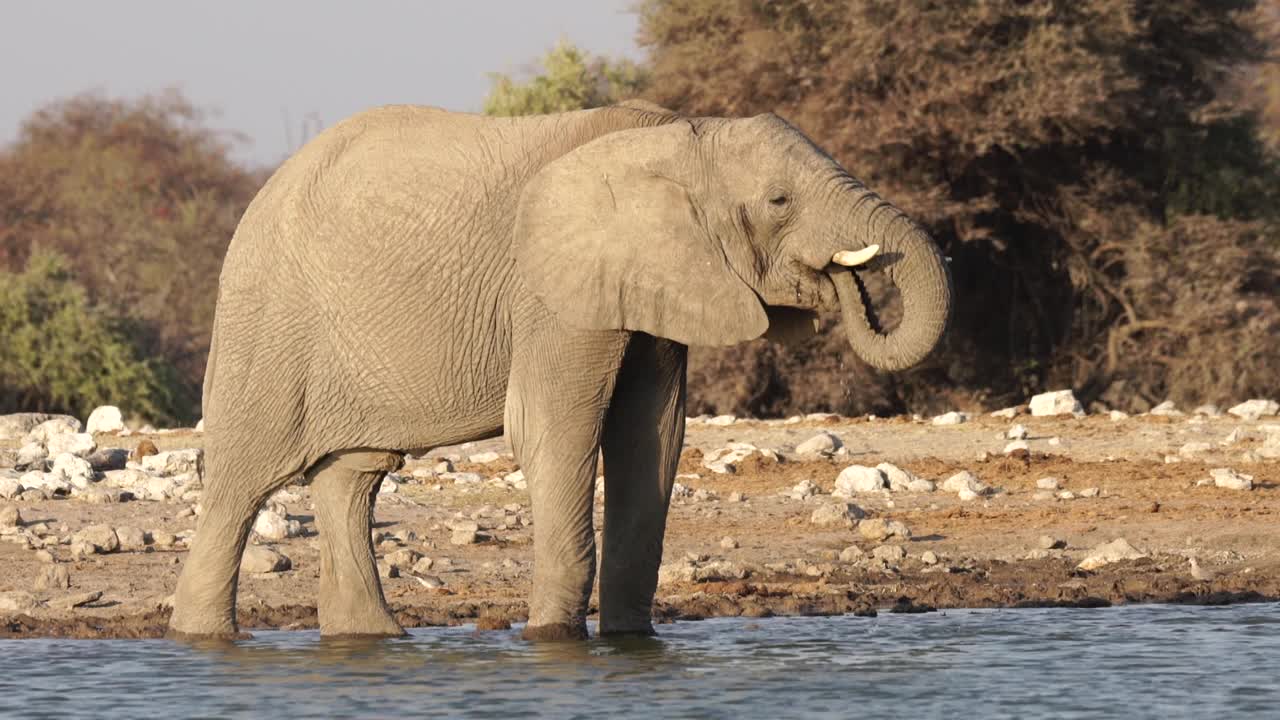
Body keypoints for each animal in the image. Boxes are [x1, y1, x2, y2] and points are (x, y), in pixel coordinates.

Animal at [167, 96, 952, 638]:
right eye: (779, 202)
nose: (846, 284)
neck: (675, 137)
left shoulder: (649, 285)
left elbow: (653, 438)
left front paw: (631, 641)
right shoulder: (552, 290)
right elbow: (555, 429)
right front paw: (552, 641)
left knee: (351, 479)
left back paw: (374, 640)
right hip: (267, 323)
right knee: (239, 486)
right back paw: (201, 640)